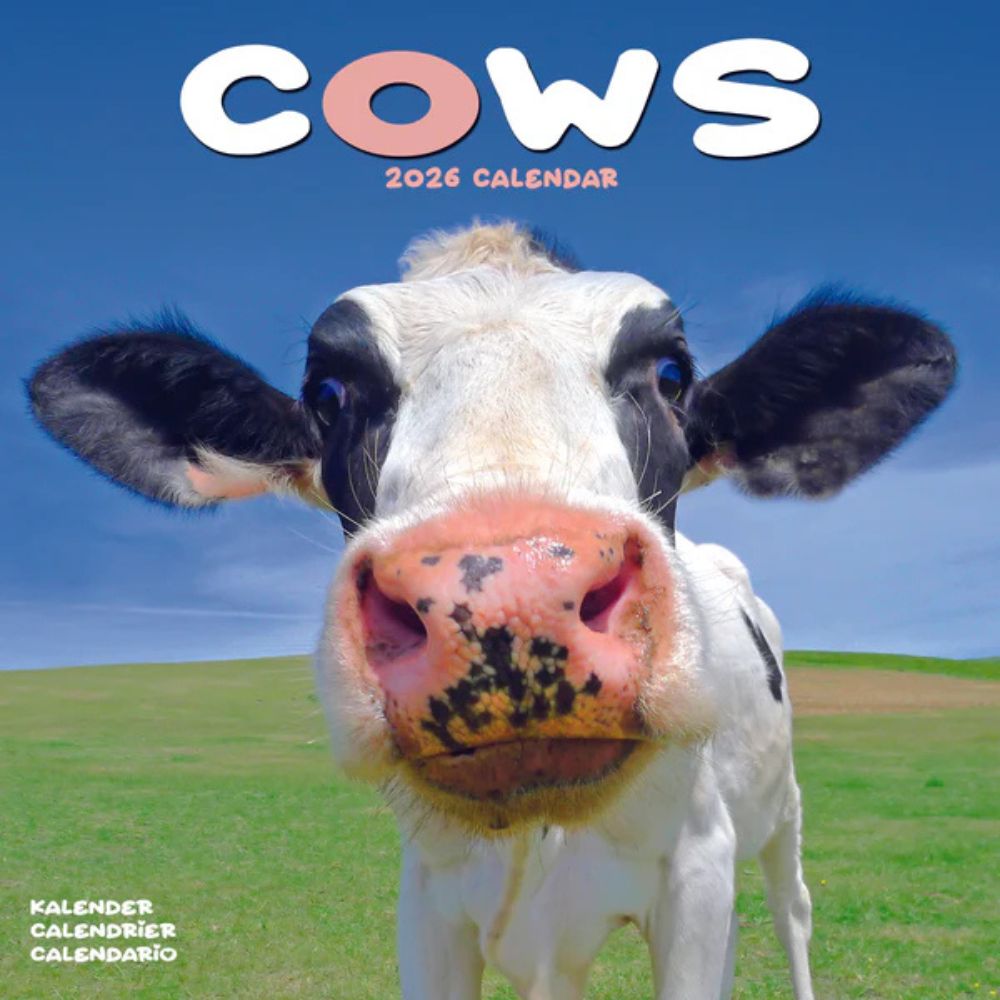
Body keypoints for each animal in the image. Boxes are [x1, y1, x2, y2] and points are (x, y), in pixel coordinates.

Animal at [27, 222, 956, 1000]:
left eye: (671, 376)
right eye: (327, 393)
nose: (509, 593)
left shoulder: (698, 876)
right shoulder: (429, 904)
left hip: (782, 811)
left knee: (794, 910)